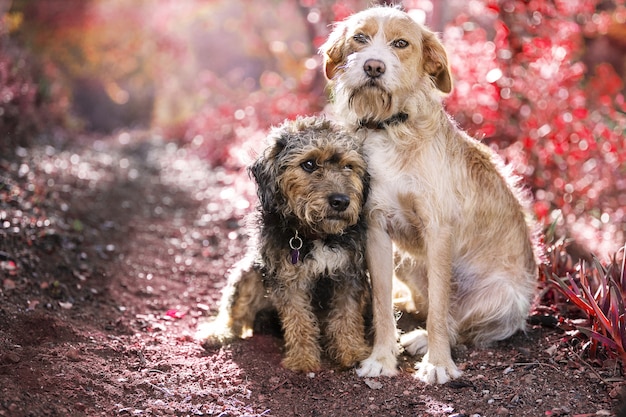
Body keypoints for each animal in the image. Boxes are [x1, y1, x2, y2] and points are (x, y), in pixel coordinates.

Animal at [205, 116, 370, 370]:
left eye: (348, 166)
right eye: (309, 164)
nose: (341, 201)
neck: (315, 235)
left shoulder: (348, 273)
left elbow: (347, 314)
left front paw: (351, 351)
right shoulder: (287, 277)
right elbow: (298, 319)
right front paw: (303, 359)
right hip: (251, 270)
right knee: (235, 311)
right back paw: (218, 332)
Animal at [320, 5, 540, 384]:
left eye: (401, 43)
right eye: (359, 38)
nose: (373, 66)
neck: (389, 129)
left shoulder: (437, 230)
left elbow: (438, 307)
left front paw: (438, 364)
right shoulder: (376, 229)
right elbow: (382, 302)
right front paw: (381, 358)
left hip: (503, 297)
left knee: (459, 324)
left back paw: (426, 339)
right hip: (406, 261)